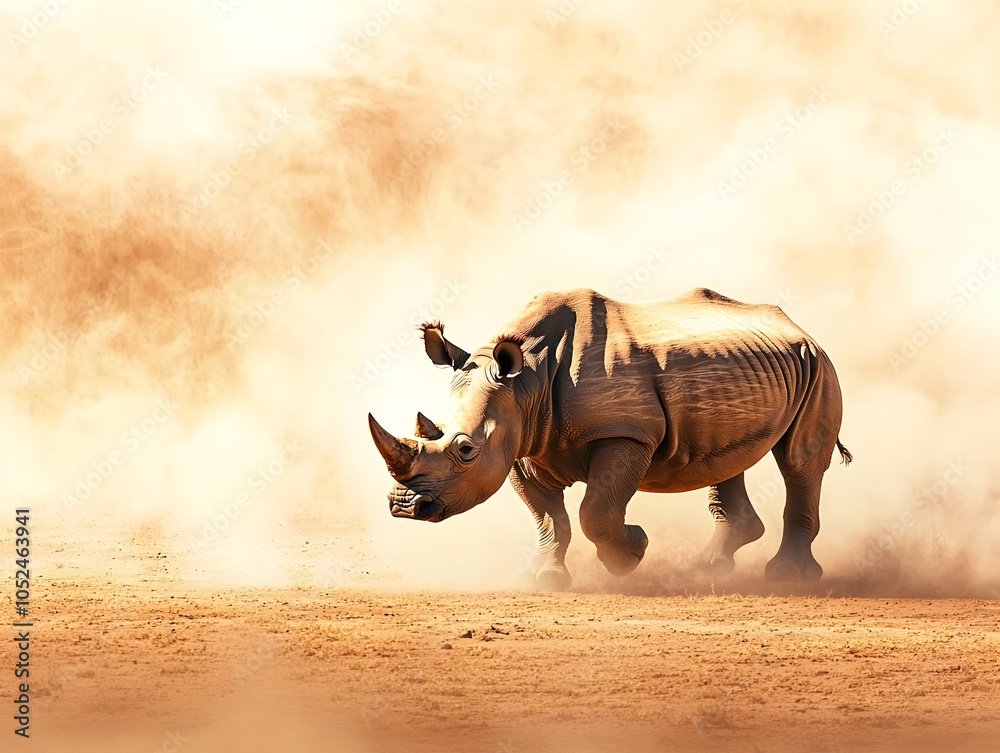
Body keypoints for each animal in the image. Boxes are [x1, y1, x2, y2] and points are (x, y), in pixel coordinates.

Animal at [368, 288, 851, 588]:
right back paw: (710, 567)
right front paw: (544, 580)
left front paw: (632, 553)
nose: (404, 506)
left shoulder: (626, 433)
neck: (527, 381)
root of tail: (797, 326)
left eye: (465, 450)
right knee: (727, 457)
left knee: (799, 461)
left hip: (818, 365)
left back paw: (786, 577)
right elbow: (549, 519)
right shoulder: (520, 445)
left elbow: (594, 511)